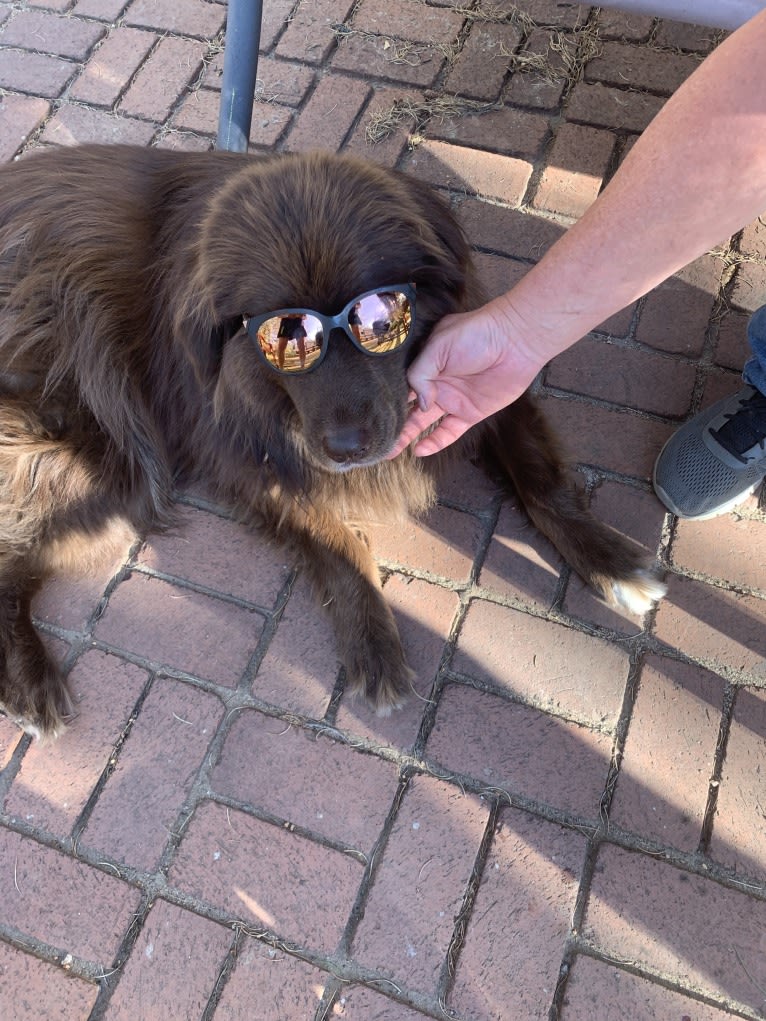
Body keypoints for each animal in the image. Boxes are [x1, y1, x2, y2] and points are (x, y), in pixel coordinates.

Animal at [0, 146, 661, 735]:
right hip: (108, 454)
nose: (347, 449)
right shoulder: (252, 461)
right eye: (283, 336)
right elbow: (339, 542)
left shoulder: (490, 381)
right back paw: (30, 685)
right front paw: (373, 643)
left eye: (378, 321)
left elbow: (542, 480)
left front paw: (611, 559)